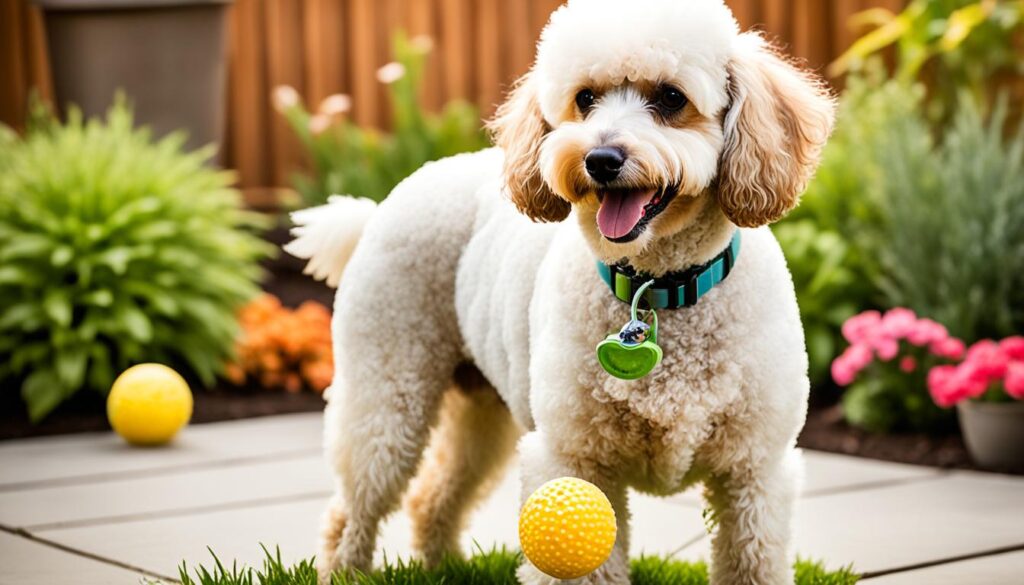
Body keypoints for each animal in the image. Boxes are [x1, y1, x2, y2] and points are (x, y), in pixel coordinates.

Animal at [286, 2, 831, 581]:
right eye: (585, 99)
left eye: (670, 98)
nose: (601, 159)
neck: (655, 290)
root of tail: (384, 203)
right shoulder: (573, 458)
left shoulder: (755, 469)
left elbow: (754, 558)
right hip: (387, 391)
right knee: (353, 504)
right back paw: (345, 567)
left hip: (481, 409)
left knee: (434, 493)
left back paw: (444, 564)